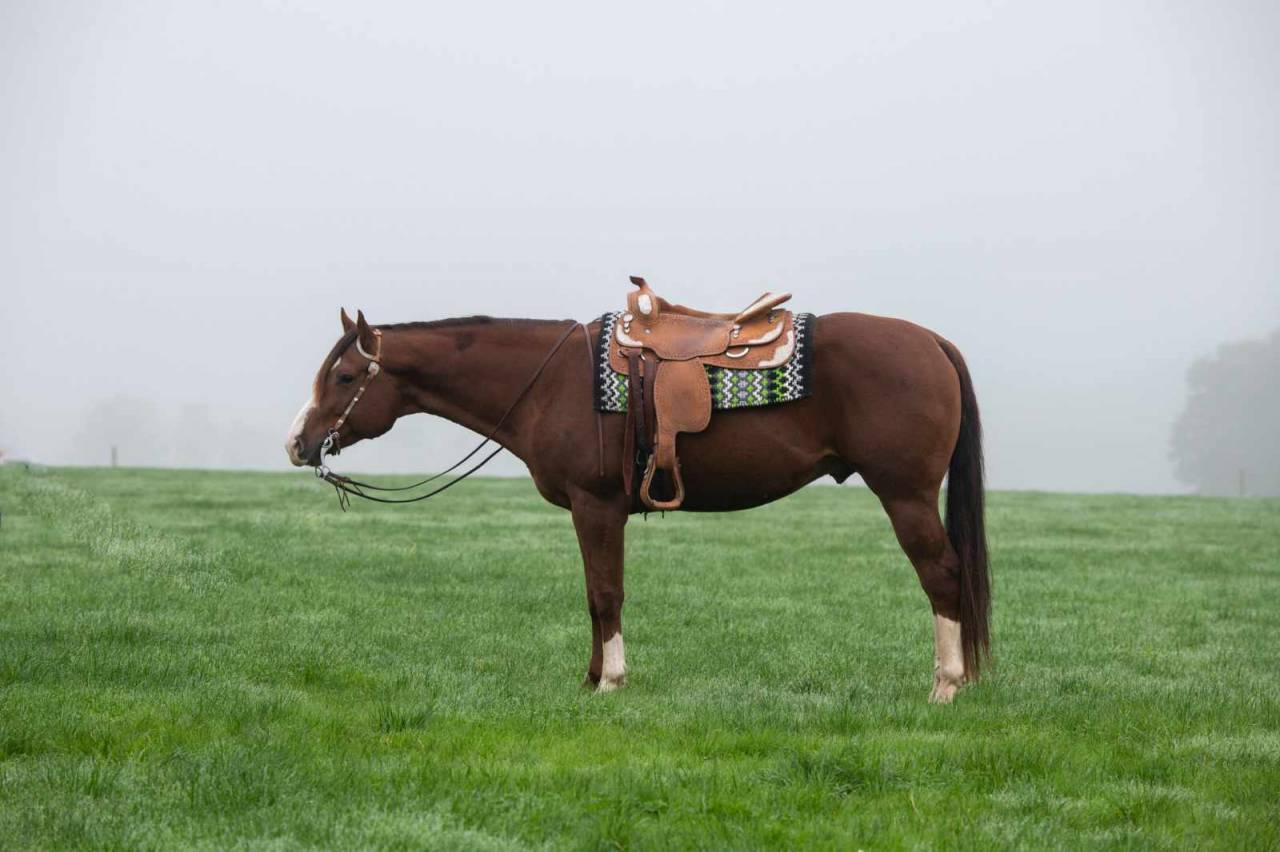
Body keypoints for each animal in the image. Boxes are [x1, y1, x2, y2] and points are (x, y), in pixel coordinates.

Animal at [285, 305, 990, 703]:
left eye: (344, 377)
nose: (297, 443)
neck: (551, 382)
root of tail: (932, 342)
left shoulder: (595, 506)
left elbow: (606, 594)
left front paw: (611, 684)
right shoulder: (591, 512)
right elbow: (593, 595)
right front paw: (591, 678)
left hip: (905, 495)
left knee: (942, 575)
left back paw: (946, 687)